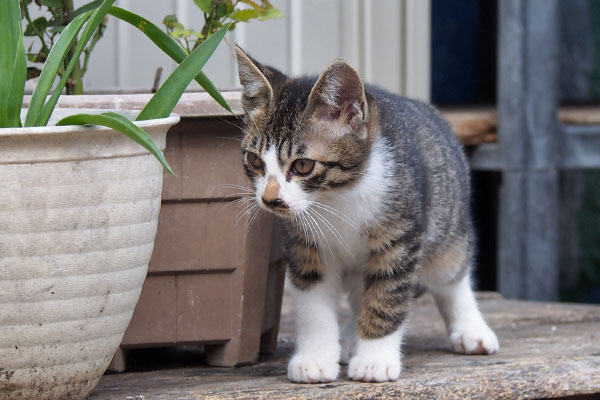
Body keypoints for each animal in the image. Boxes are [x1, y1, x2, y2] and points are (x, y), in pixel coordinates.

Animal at [233, 45, 496, 382]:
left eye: (303, 165)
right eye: (255, 161)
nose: (269, 199)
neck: (335, 199)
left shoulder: (400, 238)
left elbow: (387, 295)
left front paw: (375, 359)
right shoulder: (303, 245)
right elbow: (313, 302)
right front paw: (316, 357)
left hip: (447, 223)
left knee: (451, 276)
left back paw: (471, 329)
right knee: (361, 292)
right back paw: (348, 338)